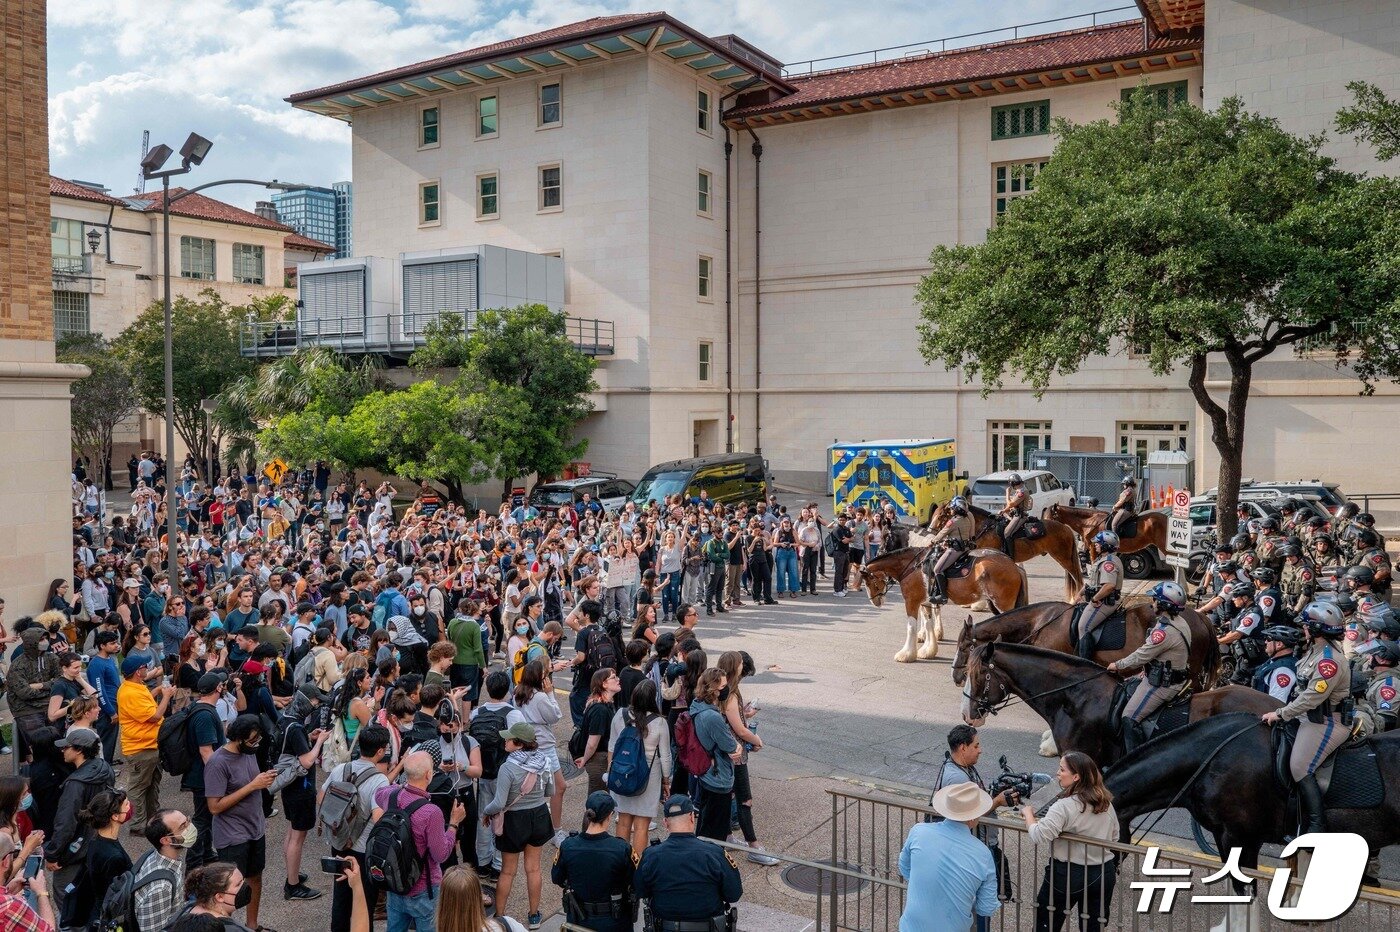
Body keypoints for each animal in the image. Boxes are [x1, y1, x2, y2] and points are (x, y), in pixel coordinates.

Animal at [851, 545, 1030, 660]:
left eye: (868, 582)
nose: (875, 602)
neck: (912, 566)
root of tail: (1014, 566)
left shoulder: (911, 601)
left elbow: (911, 627)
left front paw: (906, 654)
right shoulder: (925, 603)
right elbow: (928, 623)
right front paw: (928, 650)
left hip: (1003, 605)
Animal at [935, 498, 1086, 598]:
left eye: (941, 515)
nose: (931, 530)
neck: (986, 528)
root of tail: (1066, 528)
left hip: (1064, 558)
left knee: (1077, 578)